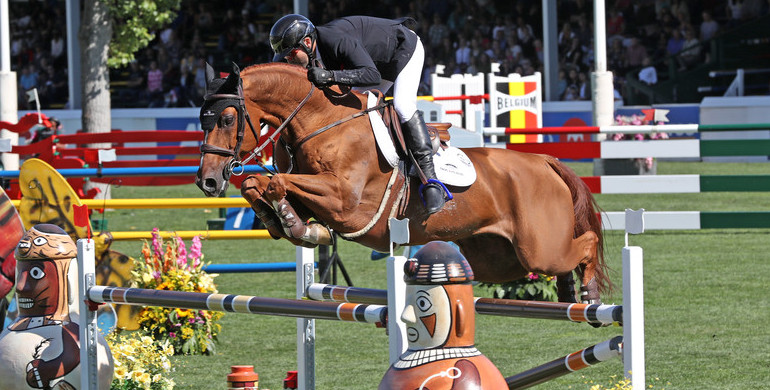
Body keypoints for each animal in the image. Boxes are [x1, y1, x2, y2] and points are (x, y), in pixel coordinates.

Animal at [194, 62, 608, 304]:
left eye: (227, 118)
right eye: (201, 119)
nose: (207, 182)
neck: (323, 122)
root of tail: (544, 161)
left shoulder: (346, 203)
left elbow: (277, 182)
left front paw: (299, 226)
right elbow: (258, 185)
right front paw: (293, 225)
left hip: (538, 249)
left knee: (585, 241)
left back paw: (586, 292)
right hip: (499, 259)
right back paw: (568, 291)